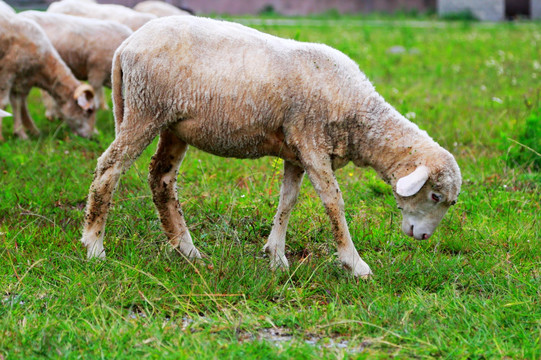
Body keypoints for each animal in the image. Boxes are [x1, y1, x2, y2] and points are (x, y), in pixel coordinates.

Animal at [0, 13, 96, 141]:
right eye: (89, 111)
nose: (91, 137)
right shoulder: (7, 73)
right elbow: (3, 104)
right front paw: (1, 138)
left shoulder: (19, 81)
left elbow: (17, 104)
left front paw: (21, 134)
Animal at [81, 15, 460, 278]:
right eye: (435, 195)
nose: (423, 237)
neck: (359, 115)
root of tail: (126, 46)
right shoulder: (312, 142)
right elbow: (334, 203)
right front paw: (355, 264)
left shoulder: (297, 151)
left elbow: (287, 200)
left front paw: (276, 256)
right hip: (145, 110)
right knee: (108, 170)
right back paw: (94, 247)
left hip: (173, 125)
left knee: (160, 179)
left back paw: (188, 251)